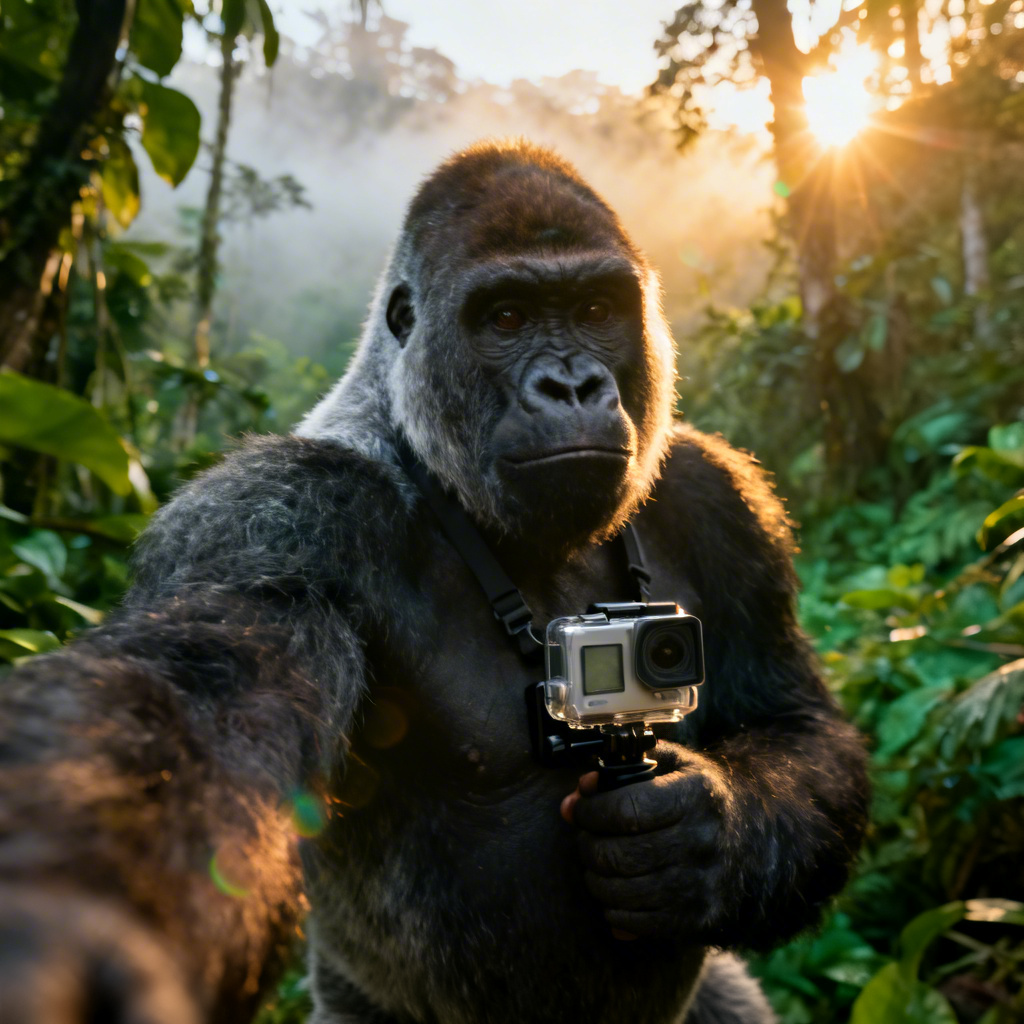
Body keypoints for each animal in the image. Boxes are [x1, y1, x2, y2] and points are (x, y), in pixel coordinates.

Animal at [0, 140, 868, 1024]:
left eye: (596, 309)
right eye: (507, 318)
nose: (572, 386)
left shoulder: (722, 499)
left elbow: (792, 718)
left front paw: (704, 839)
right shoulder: (277, 515)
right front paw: (61, 916)